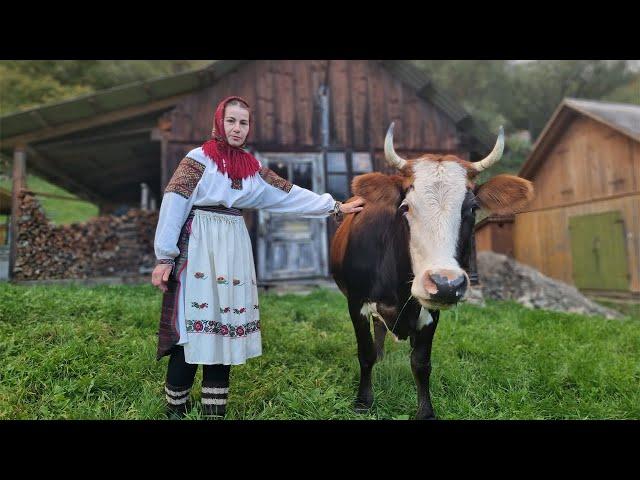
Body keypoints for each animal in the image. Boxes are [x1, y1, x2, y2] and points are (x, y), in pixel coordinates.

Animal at [330, 124, 536, 420]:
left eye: (472, 208)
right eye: (405, 206)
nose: (446, 283)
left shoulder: (430, 312)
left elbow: (421, 363)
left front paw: (426, 411)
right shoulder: (356, 302)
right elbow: (365, 353)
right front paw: (363, 401)